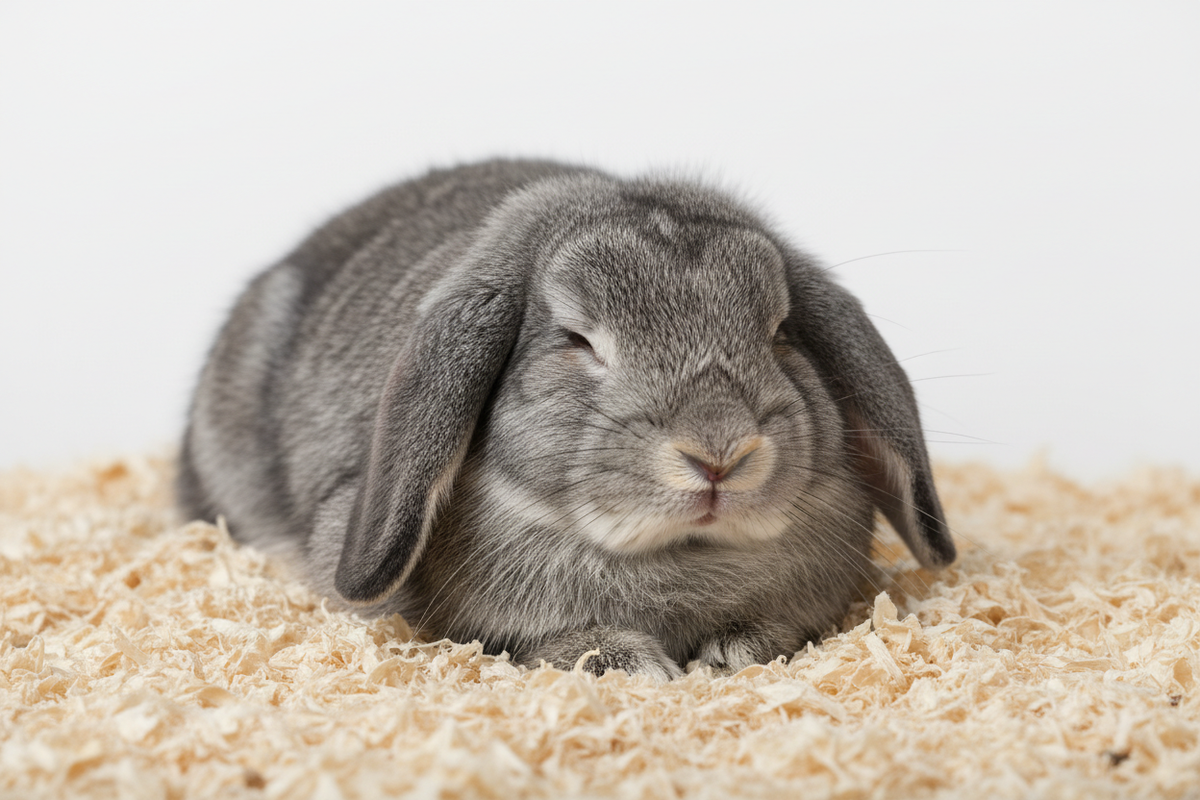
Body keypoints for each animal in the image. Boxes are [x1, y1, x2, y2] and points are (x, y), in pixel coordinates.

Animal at [178, 158, 955, 680]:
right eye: (577, 340)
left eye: (781, 332)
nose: (719, 453)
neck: (675, 559)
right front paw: (621, 662)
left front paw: (736, 651)